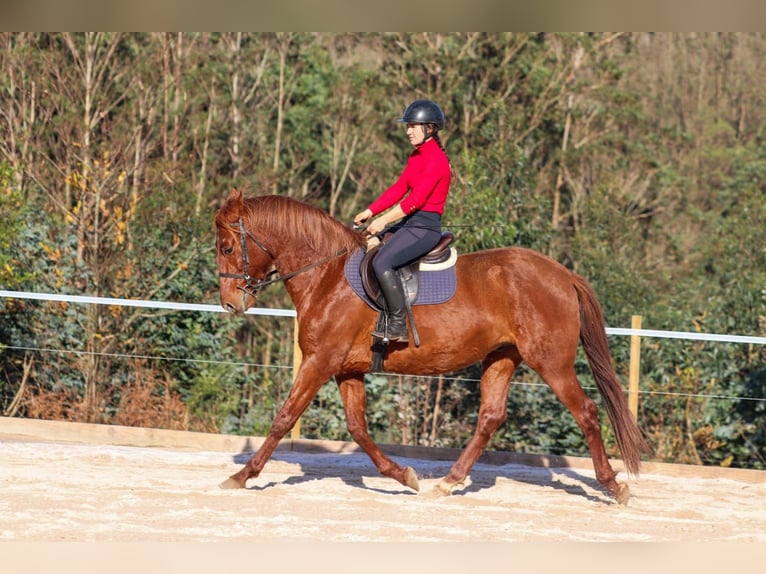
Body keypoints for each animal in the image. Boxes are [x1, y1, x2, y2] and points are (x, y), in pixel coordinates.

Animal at [213, 189, 652, 504]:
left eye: (228, 247)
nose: (231, 304)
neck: (327, 274)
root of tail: (562, 274)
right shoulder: (346, 368)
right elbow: (358, 428)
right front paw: (404, 476)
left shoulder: (320, 362)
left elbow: (284, 418)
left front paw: (240, 476)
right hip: (503, 356)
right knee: (490, 417)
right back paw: (448, 482)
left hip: (551, 361)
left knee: (587, 412)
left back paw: (614, 487)